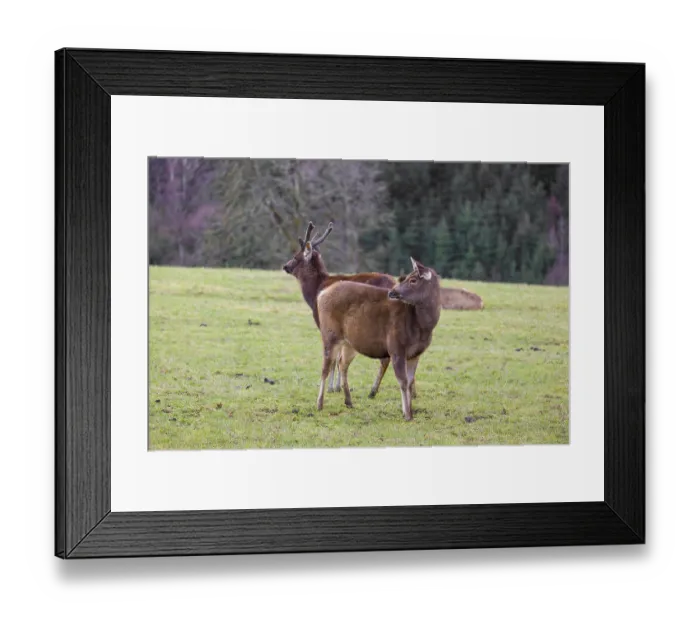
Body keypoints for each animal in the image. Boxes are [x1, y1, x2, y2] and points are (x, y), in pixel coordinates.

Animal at [282, 221, 398, 399]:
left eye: (296, 256)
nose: (285, 266)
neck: (315, 291)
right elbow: (341, 356)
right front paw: (338, 386)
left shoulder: (326, 323)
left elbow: (334, 357)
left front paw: (331, 388)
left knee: (387, 356)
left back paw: (373, 391)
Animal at [315, 257, 441, 421]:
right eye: (406, 277)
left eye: (413, 280)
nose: (392, 292)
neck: (421, 327)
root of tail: (321, 294)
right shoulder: (396, 346)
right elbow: (402, 381)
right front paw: (407, 414)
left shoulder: (416, 354)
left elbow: (409, 381)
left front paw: (409, 411)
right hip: (330, 334)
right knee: (325, 367)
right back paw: (319, 404)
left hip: (350, 343)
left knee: (342, 364)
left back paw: (348, 401)